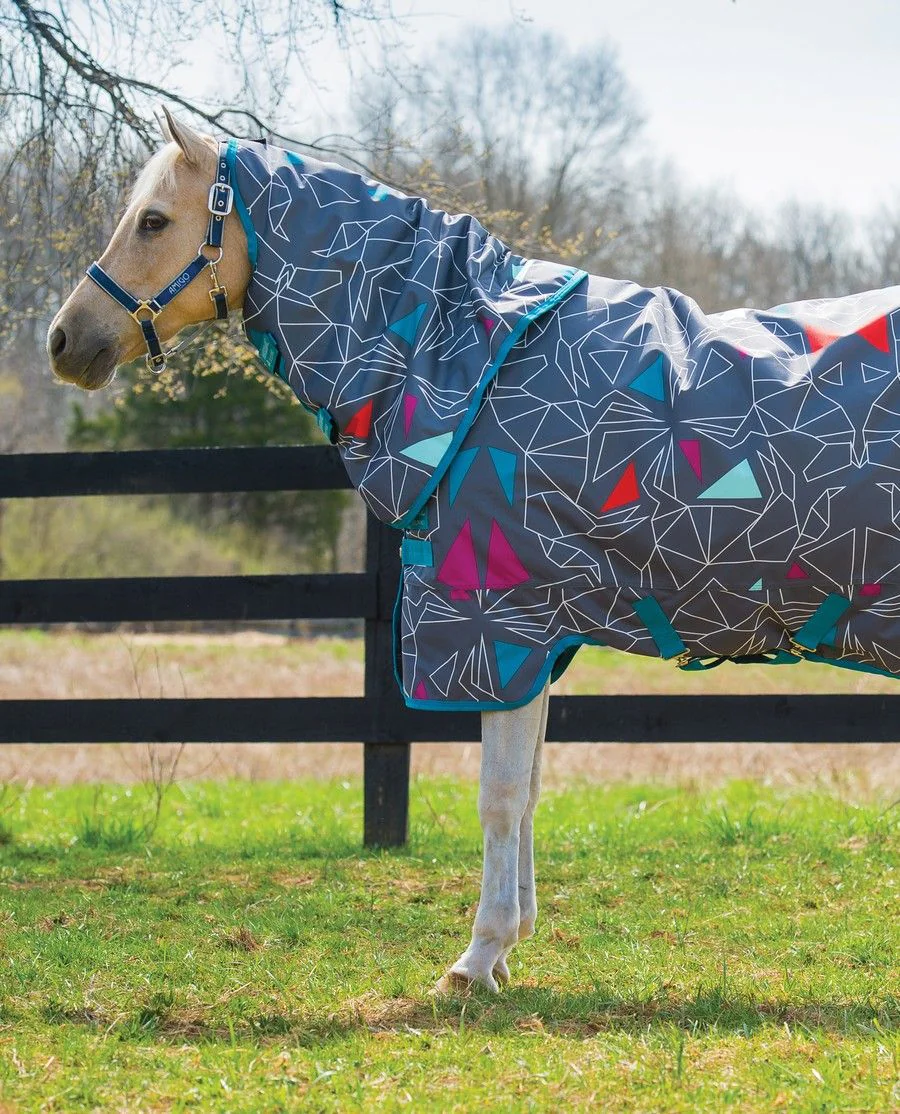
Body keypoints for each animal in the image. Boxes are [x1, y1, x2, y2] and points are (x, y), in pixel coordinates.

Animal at [49, 109, 900, 992]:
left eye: (154, 221)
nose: (64, 340)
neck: (468, 368)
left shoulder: (498, 624)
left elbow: (498, 795)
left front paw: (477, 956)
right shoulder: (537, 638)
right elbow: (529, 790)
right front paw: (511, 941)